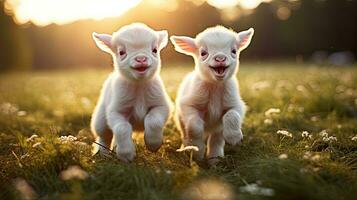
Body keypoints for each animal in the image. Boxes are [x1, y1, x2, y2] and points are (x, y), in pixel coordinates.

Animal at [90, 22, 171, 162]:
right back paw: (104, 154)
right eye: (121, 52)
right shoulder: (116, 110)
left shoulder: (161, 105)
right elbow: (122, 129)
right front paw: (126, 155)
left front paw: (153, 144)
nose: (141, 59)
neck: (139, 85)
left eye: (154, 50)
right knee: (104, 136)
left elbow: (153, 121)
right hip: (100, 119)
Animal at [170, 25, 253, 163]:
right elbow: (194, 125)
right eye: (203, 53)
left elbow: (232, 115)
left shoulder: (236, 104)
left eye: (234, 51)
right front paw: (197, 150)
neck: (215, 86)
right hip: (180, 120)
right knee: (185, 133)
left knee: (216, 140)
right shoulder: (188, 104)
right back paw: (187, 148)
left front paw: (234, 138)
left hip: (218, 127)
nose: (220, 58)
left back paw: (215, 159)